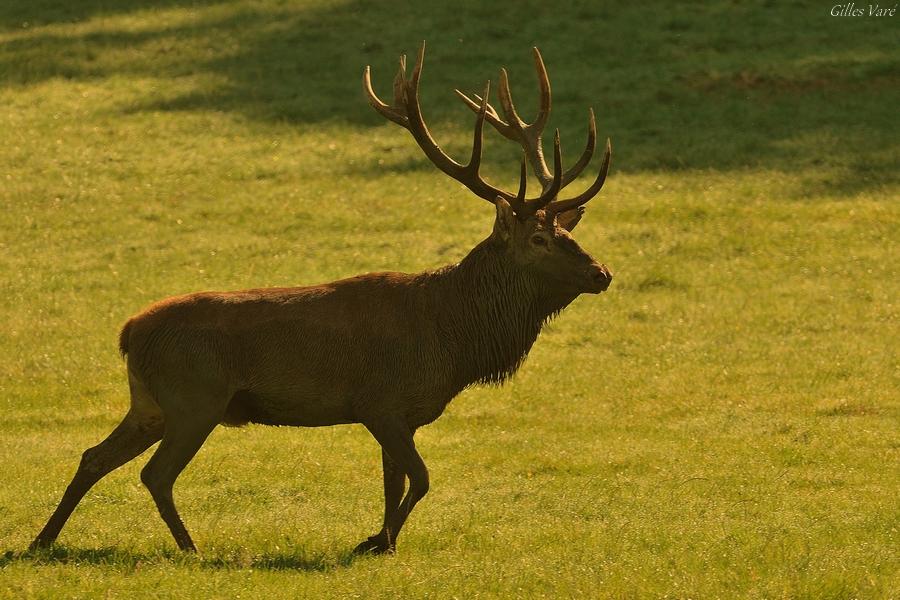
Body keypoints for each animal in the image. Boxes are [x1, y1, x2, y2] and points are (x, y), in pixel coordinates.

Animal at [31, 42, 616, 556]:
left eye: (567, 232)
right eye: (538, 238)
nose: (603, 273)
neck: (454, 339)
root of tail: (129, 331)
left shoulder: (399, 416)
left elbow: (394, 482)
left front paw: (385, 542)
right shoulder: (381, 403)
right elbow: (422, 479)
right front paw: (374, 541)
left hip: (149, 404)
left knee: (93, 456)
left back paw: (43, 540)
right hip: (194, 399)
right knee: (154, 474)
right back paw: (189, 547)